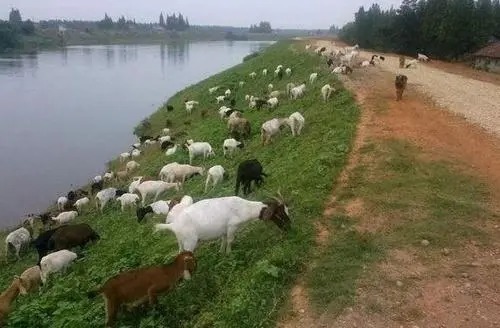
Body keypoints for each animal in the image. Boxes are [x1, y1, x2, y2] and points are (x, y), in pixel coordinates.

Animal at [154, 195, 292, 254]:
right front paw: (229, 253)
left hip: (181, 241)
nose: (289, 228)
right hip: (190, 242)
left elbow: (224, 240)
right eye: (280, 214)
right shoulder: (232, 226)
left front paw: (221, 252)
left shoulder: (224, 229)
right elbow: (230, 240)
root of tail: (173, 225)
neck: (243, 208)